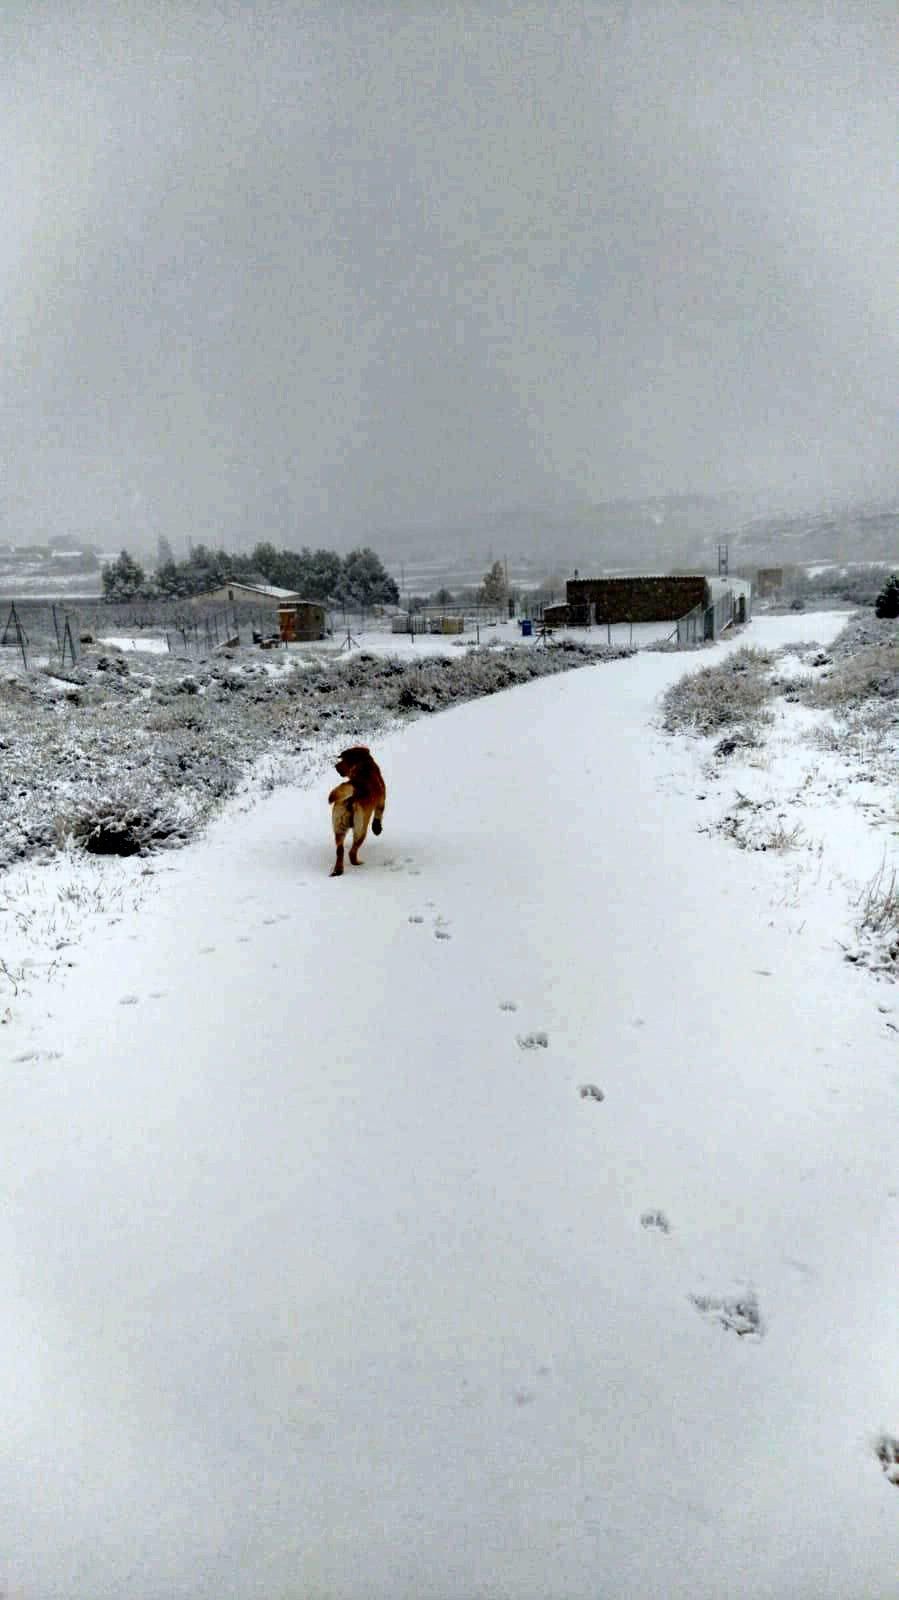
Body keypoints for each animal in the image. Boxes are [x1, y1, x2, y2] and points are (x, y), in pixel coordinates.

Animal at [327, 745, 387, 876]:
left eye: (342, 759)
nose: (335, 766)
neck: (363, 765)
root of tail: (352, 795)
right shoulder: (382, 800)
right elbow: (379, 815)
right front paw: (377, 829)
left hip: (339, 826)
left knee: (340, 850)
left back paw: (338, 870)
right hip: (361, 829)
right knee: (352, 851)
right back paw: (357, 863)